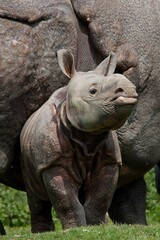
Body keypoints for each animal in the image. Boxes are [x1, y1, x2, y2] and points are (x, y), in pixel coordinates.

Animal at [20, 49, 138, 232]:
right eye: (93, 91)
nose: (129, 88)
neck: (88, 137)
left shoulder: (109, 160)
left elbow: (101, 198)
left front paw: (96, 227)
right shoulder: (53, 162)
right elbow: (66, 200)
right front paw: (74, 229)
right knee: (35, 196)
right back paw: (42, 232)